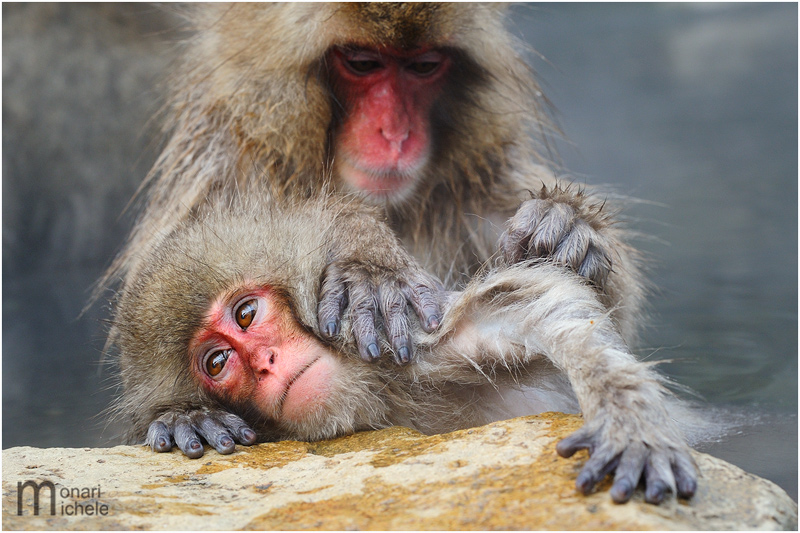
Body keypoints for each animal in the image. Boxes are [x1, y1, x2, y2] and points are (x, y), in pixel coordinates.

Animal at [102, 3, 646, 360]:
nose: (395, 133)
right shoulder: (225, 167)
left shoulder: (483, 187)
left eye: (424, 66)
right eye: (363, 63)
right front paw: (361, 252)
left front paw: (568, 228)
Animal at [111, 191, 697, 506]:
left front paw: (631, 430)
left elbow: (549, 307)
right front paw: (188, 418)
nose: (265, 363)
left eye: (246, 314)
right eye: (216, 362)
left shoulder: (413, 338)